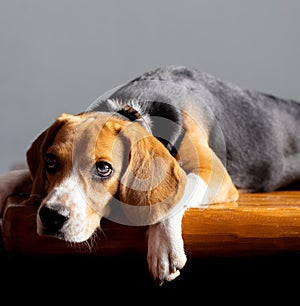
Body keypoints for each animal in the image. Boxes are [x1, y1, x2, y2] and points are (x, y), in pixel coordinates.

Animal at [1, 65, 300, 286]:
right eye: (50, 161)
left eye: (104, 168)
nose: (52, 216)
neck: (136, 109)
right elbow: (18, 175)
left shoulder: (215, 174)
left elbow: (179, 189)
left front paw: (164, 243)